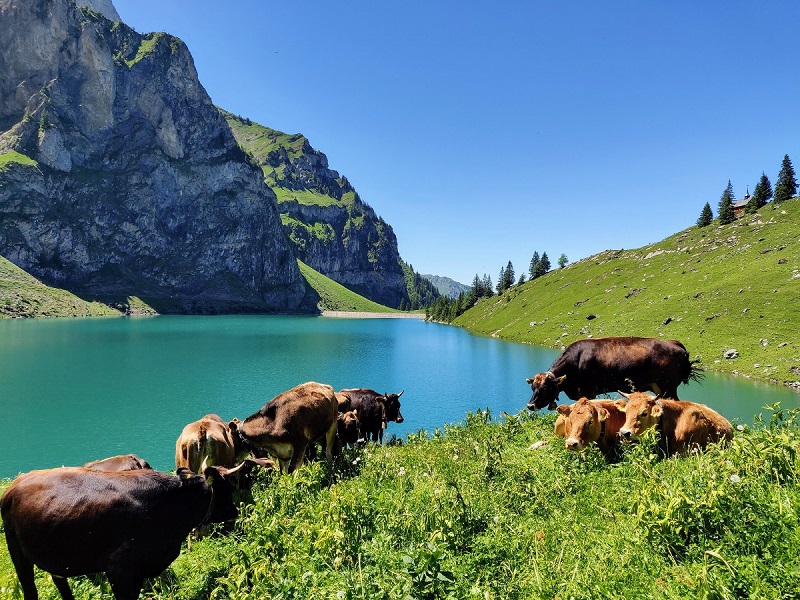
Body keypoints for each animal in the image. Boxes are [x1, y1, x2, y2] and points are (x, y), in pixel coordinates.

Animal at [0, 464, 238, 600]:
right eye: (228, 487)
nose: (235, 511)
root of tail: (15, 485)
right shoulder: (118, 568)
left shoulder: (140, 568)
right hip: (17, 552)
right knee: (30, 590)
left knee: (60, 582)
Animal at [524, 336, 700, 410]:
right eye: (533, 388)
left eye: (545, 388)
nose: (530, 405)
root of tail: (674, 343)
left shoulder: (588, 390)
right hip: (659, 388)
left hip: (669, 386)